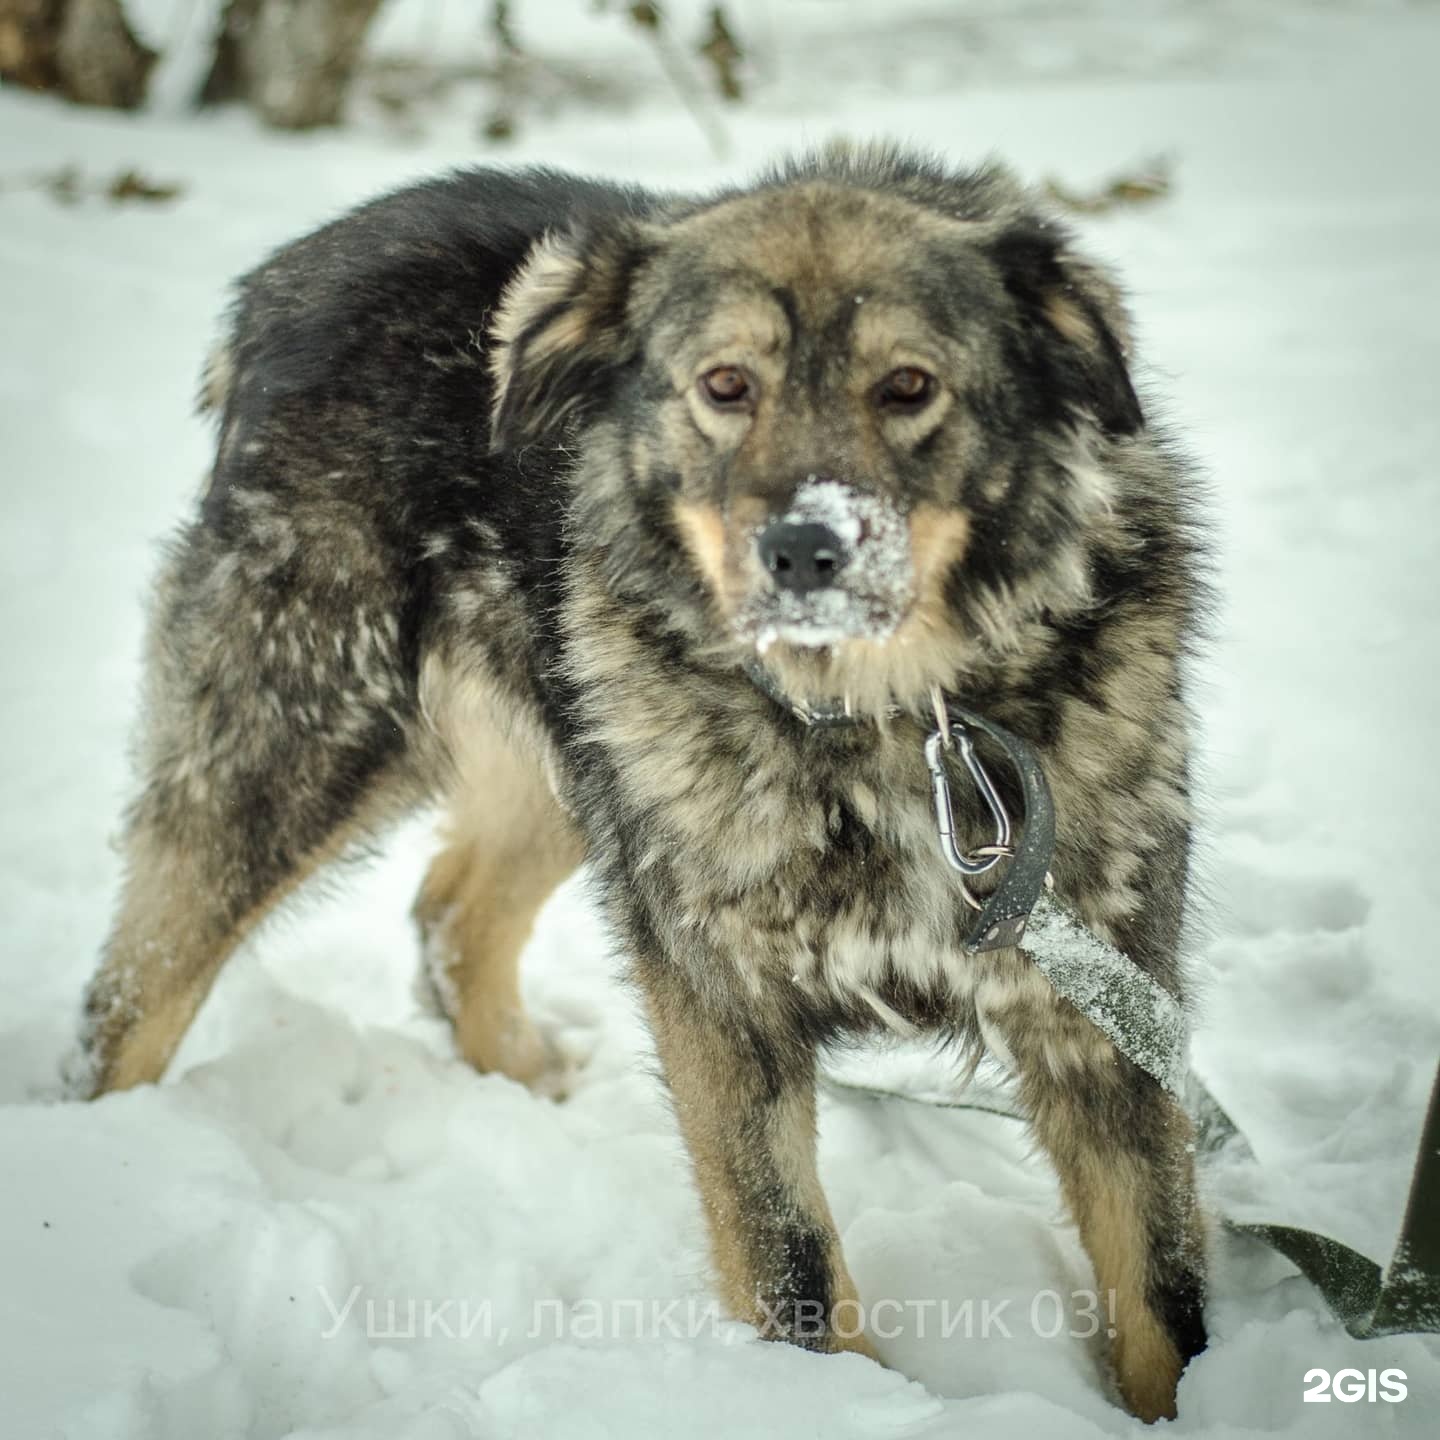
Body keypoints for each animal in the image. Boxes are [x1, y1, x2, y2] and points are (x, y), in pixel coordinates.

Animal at [75, 143, 1203, 1416]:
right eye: (726, 385)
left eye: (910, 386)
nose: (805, 550)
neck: (885, 720)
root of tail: (286, 279)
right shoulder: (718, 995)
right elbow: (788, 1261)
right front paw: (833, 1401)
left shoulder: (1103, 1011)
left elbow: (1161, 1288)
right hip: (307, 738)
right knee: (132, 997)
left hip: (591, 744)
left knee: (452, 912)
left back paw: (522, 1080)